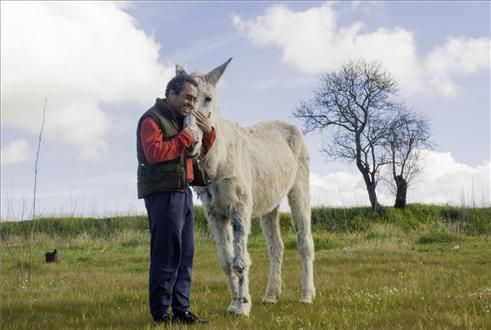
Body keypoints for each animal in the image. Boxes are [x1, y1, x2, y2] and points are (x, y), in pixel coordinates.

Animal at [181, 60, 316, 318]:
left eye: (208, 98)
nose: (190, 143)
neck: (219, 159)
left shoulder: (239, 207)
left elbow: (240, 260)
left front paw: (243, 307)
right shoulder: (214, 213)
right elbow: (226, 261)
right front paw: (234, 303)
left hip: (299, 190)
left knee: (305, 243)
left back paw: (307, 296)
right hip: (270, 204)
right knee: (276, 246)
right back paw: (271, 295)